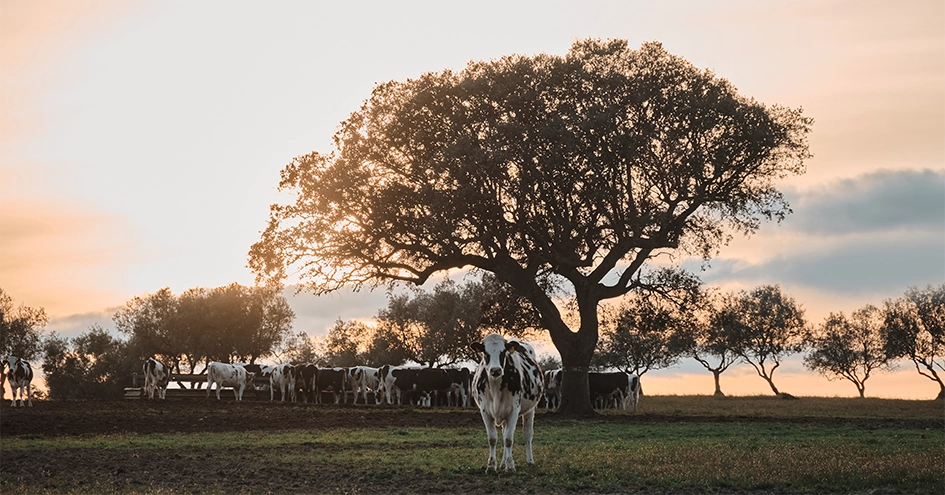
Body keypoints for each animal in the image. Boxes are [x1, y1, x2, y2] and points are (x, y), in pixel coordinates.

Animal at [471, 334, 543, 472]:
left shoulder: (514, 410)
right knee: (504, 432)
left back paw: (529, 460)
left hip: (530, 410)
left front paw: (510, 466)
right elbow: (492, 439)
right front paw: (491, 466)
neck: (495, 386)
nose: (495, 370)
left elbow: (509, 439)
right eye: (485, 353)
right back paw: (502, 463)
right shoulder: (485, 411)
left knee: (527, 435)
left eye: (503, 352)